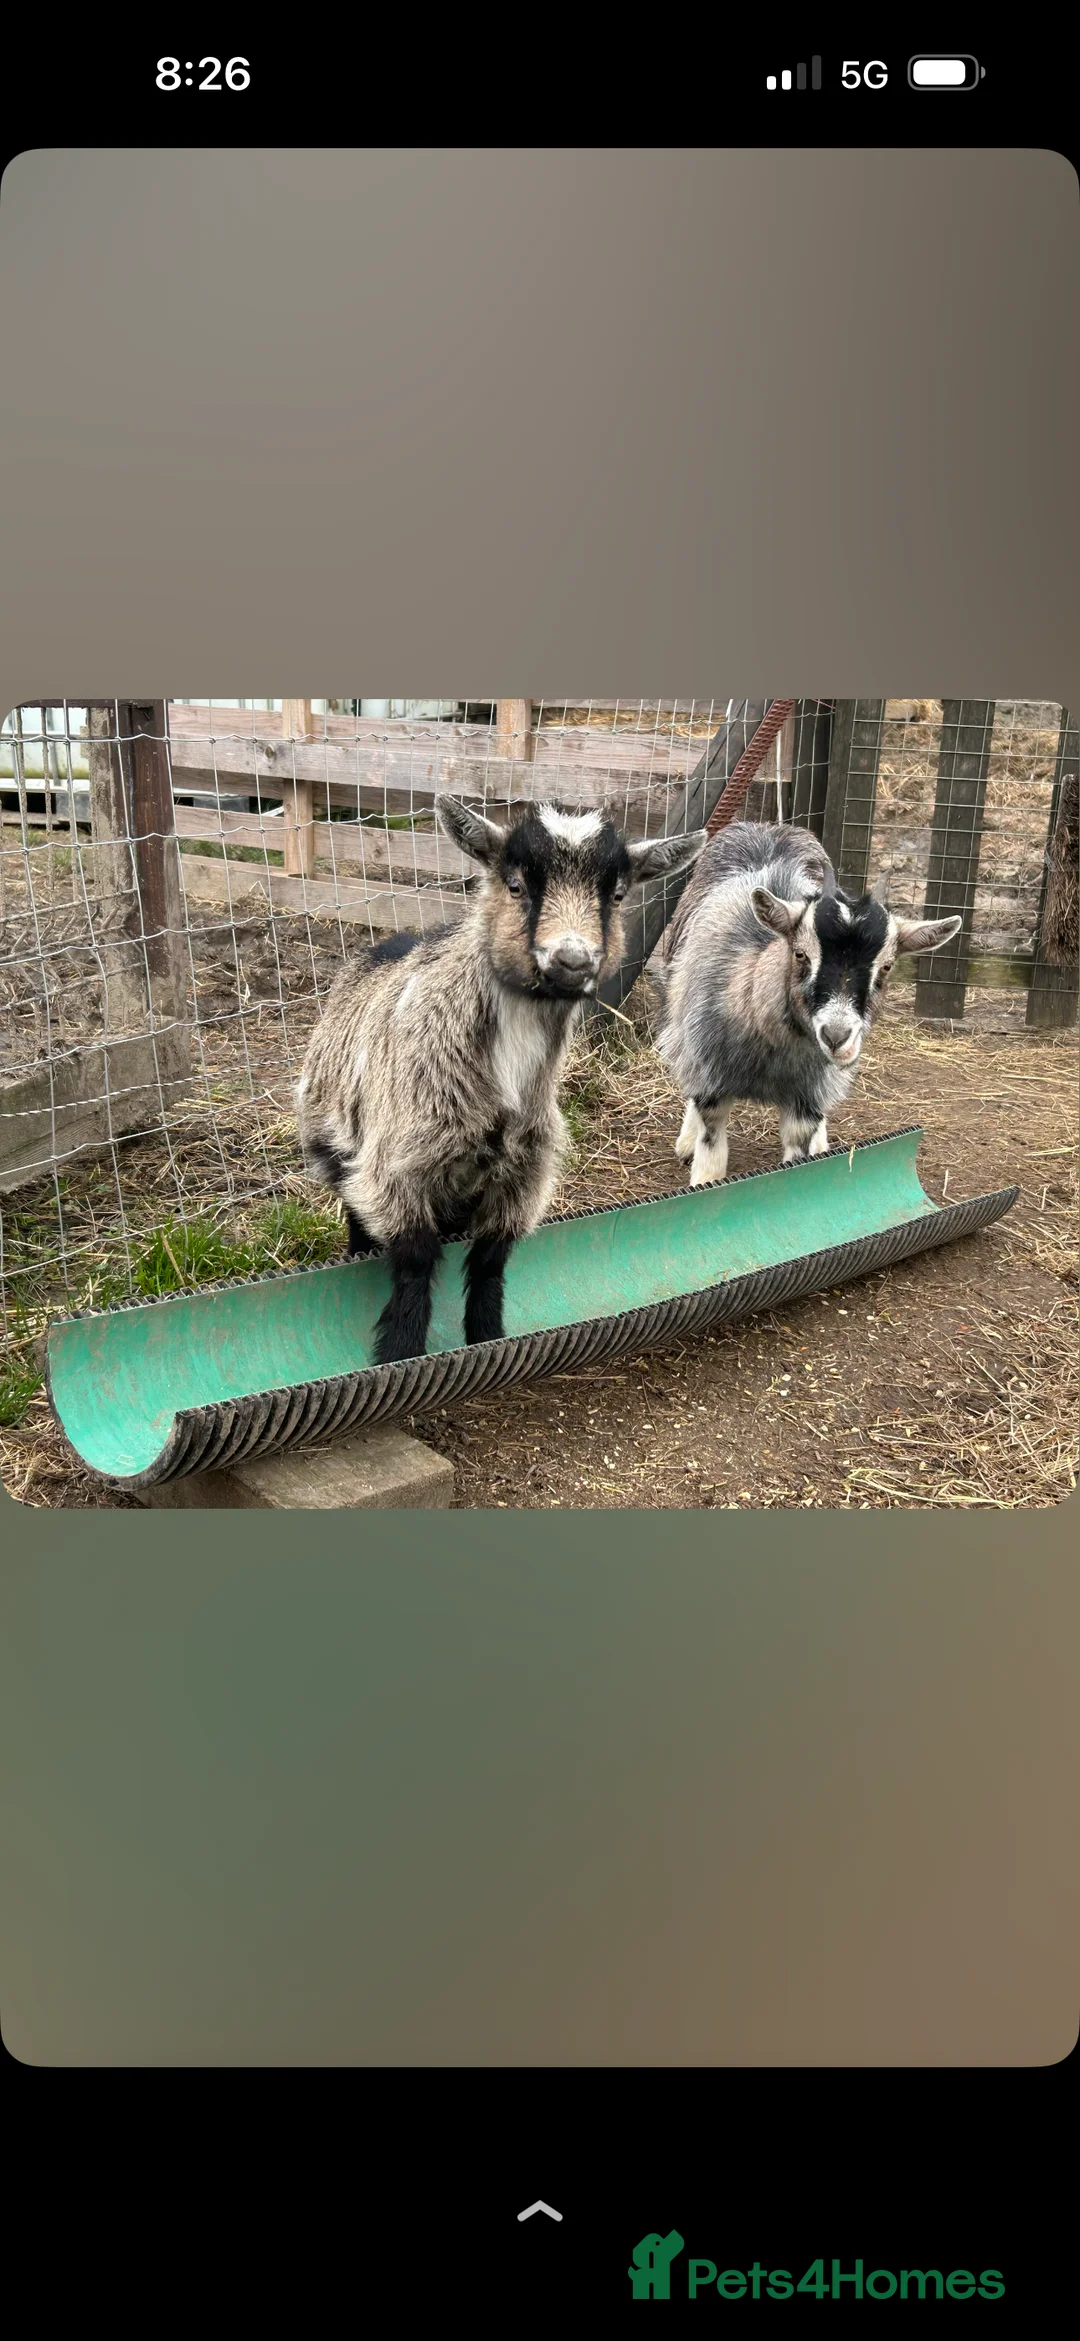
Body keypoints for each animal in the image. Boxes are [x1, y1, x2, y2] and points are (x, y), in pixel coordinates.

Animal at [297, 797, 706, 1363]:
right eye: (515, 885)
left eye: (618, 894)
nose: (572, 961)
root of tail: (393, 941)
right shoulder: (398, 1166)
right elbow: (414, 1265)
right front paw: (400, 1354)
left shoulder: (523, 1174)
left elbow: (491, 1263)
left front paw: (487, 1338)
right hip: (337, 1142)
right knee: (356, 1214)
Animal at [654, 820, 962, 1187]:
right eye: (800, 954)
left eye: (887, 967)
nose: (837, 1036)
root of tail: (769, 827)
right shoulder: (709, 1073)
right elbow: (711, 1140)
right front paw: (702, 1178)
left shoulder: (808, 1096)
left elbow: (799, 1149)